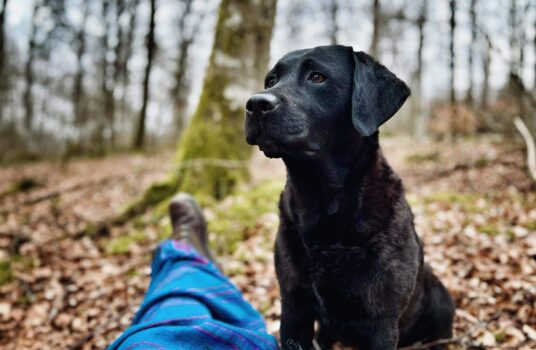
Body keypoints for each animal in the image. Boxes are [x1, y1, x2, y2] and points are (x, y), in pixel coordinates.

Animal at [245, 45, 454, 348]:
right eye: (271, 81)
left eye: (317, 77)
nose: (256, 104)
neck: (323, 202)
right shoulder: (294, 307)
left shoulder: (381, 323)